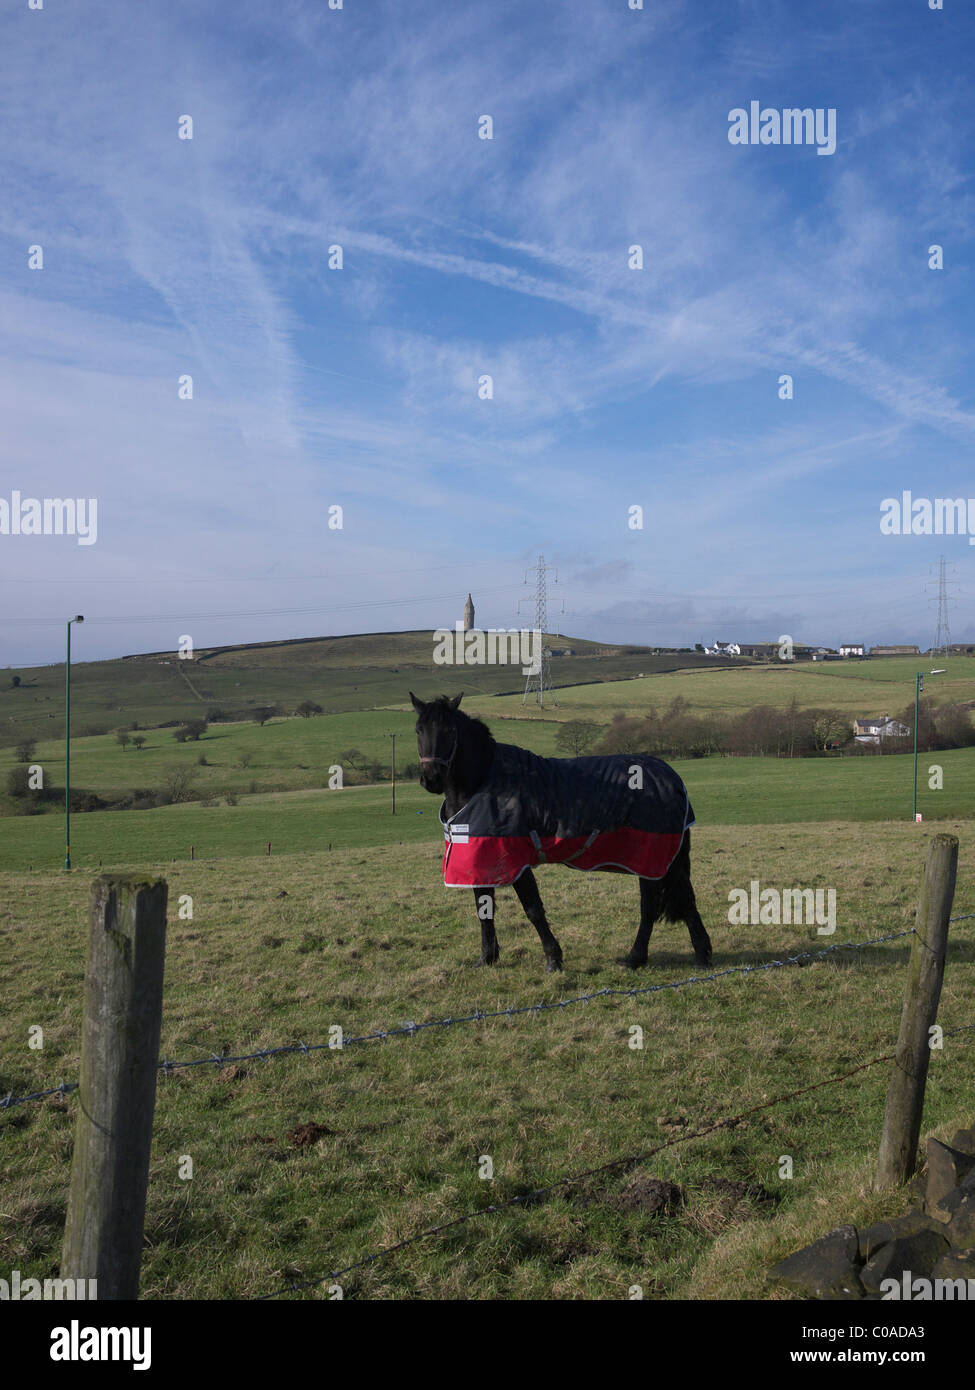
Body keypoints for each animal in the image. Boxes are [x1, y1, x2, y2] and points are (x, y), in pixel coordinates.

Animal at [406, 689, 712, 973]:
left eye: (449, 730)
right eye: (418, 730)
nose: (431, 778)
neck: (484, 783)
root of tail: (672, 778)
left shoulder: (515, 861)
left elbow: (533, 910)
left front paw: (554, 959)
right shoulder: (479, 857)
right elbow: (484, 908)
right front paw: (487, 958)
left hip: (651, 858)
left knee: (650, 907)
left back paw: (636, 958)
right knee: (685, 899)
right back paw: (699, 955)